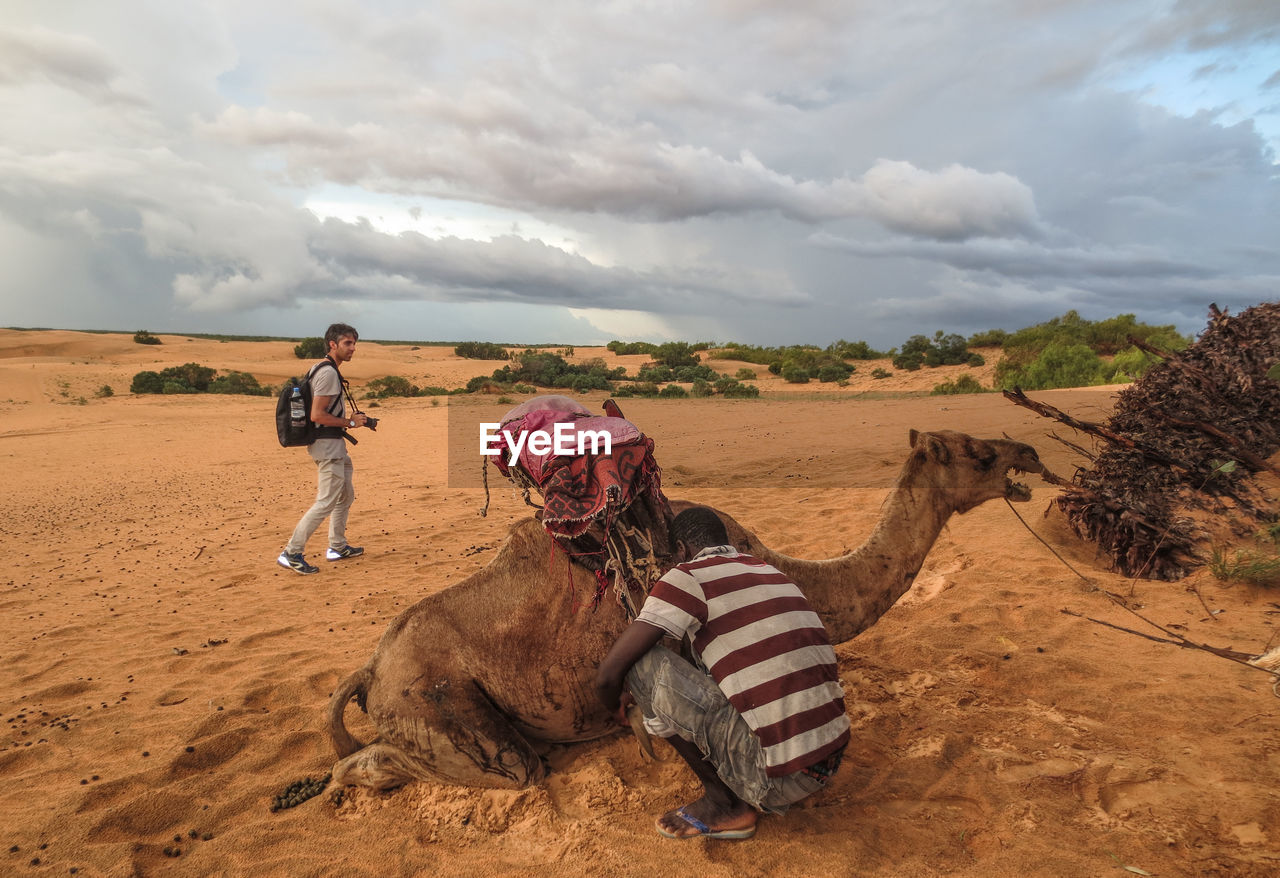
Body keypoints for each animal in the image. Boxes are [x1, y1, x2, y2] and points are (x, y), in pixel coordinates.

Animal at [327, 430, 1039, 793]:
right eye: (979, 453)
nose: (1028, 452)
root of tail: (369, 672)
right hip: (435, 703)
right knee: (498, 767)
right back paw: (340, 783)